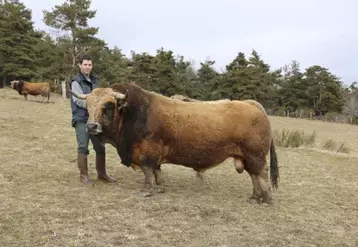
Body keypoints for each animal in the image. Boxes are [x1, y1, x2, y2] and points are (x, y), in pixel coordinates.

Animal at [70, 83, 280, 205]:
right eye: (88, 105)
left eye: (108, 105)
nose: (91, 126)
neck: (133, 113)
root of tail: (251, 103)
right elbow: (157, 171)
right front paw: (159, 187)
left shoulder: (147, 151)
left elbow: (148, 171)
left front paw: (147, 191)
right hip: (246, 156)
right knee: (253, 176)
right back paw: (254, 197)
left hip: (255, 155)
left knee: (261, 174)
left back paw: (266, 199)